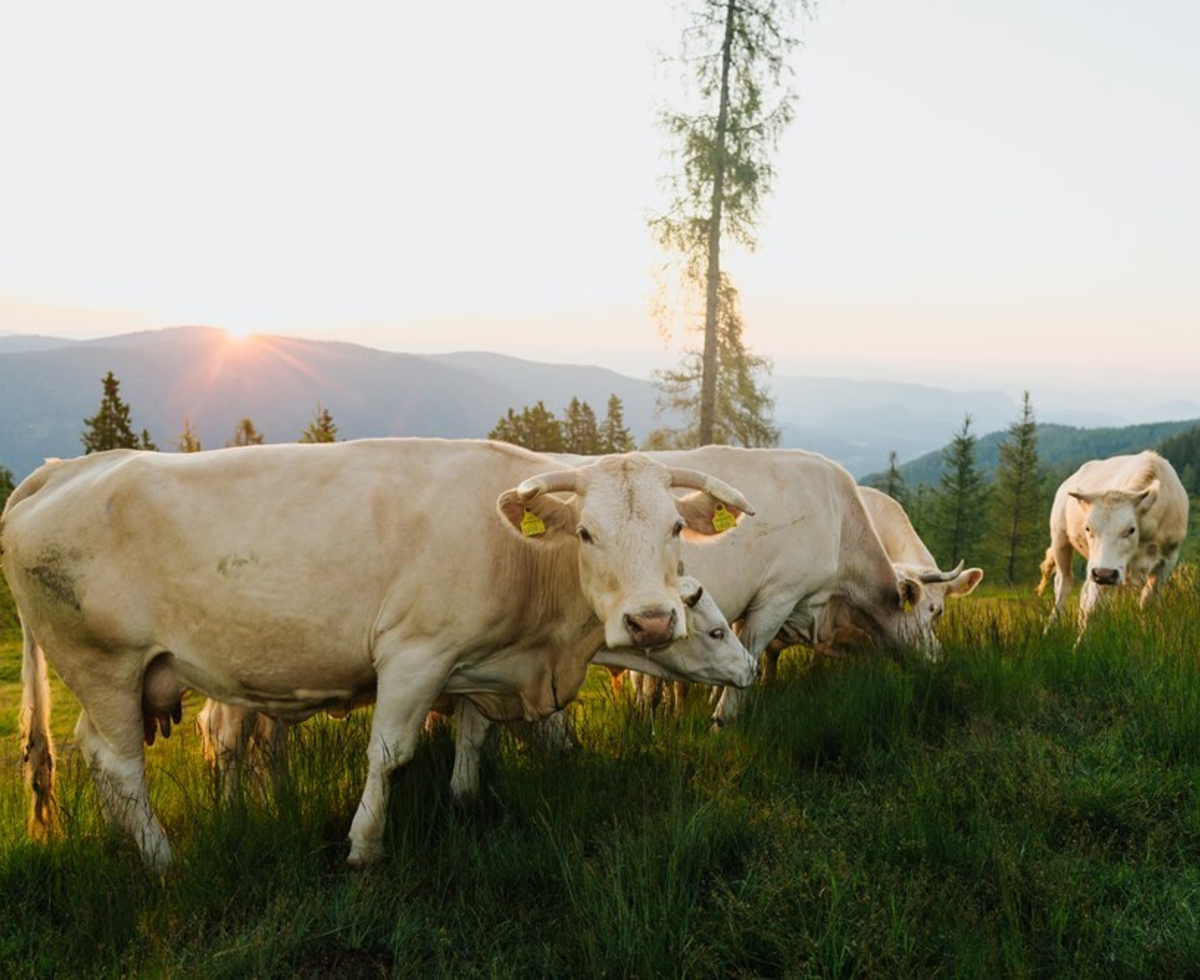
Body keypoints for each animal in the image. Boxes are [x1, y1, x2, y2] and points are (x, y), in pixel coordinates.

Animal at [196, 577, 756, 800]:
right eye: (716, 631)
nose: (751, 668)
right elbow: (474, 735)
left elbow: (479, 737)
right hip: (233, 699)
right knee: (229, 745)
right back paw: (235, 809)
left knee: (269, 745)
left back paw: (280, 795)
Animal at [1037, 450, 1189, 630]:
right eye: (1087, 528)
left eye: (1131, 529)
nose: (1104, 574)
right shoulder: (1100, 567)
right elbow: (1094, 608)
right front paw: (1083, 638)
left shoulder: (1168, 559)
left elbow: (1148, 601)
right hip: (1060, 539)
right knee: (1064, 583)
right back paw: (1050, 628)